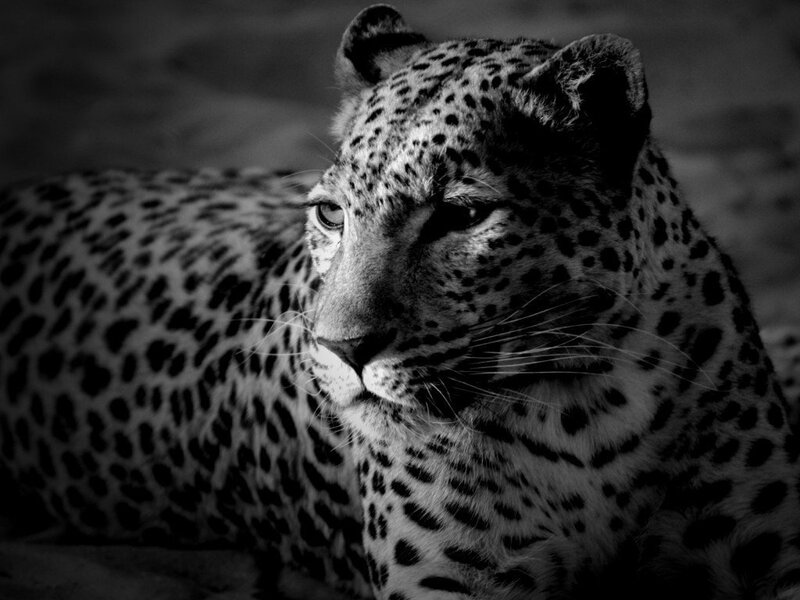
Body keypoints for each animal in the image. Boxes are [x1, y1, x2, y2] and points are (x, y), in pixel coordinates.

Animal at [1, 4, 799, 600]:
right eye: (330, 214)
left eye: (462, 216)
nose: (340, 349)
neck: (588, 407)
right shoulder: (454, 583)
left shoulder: (772, 545)